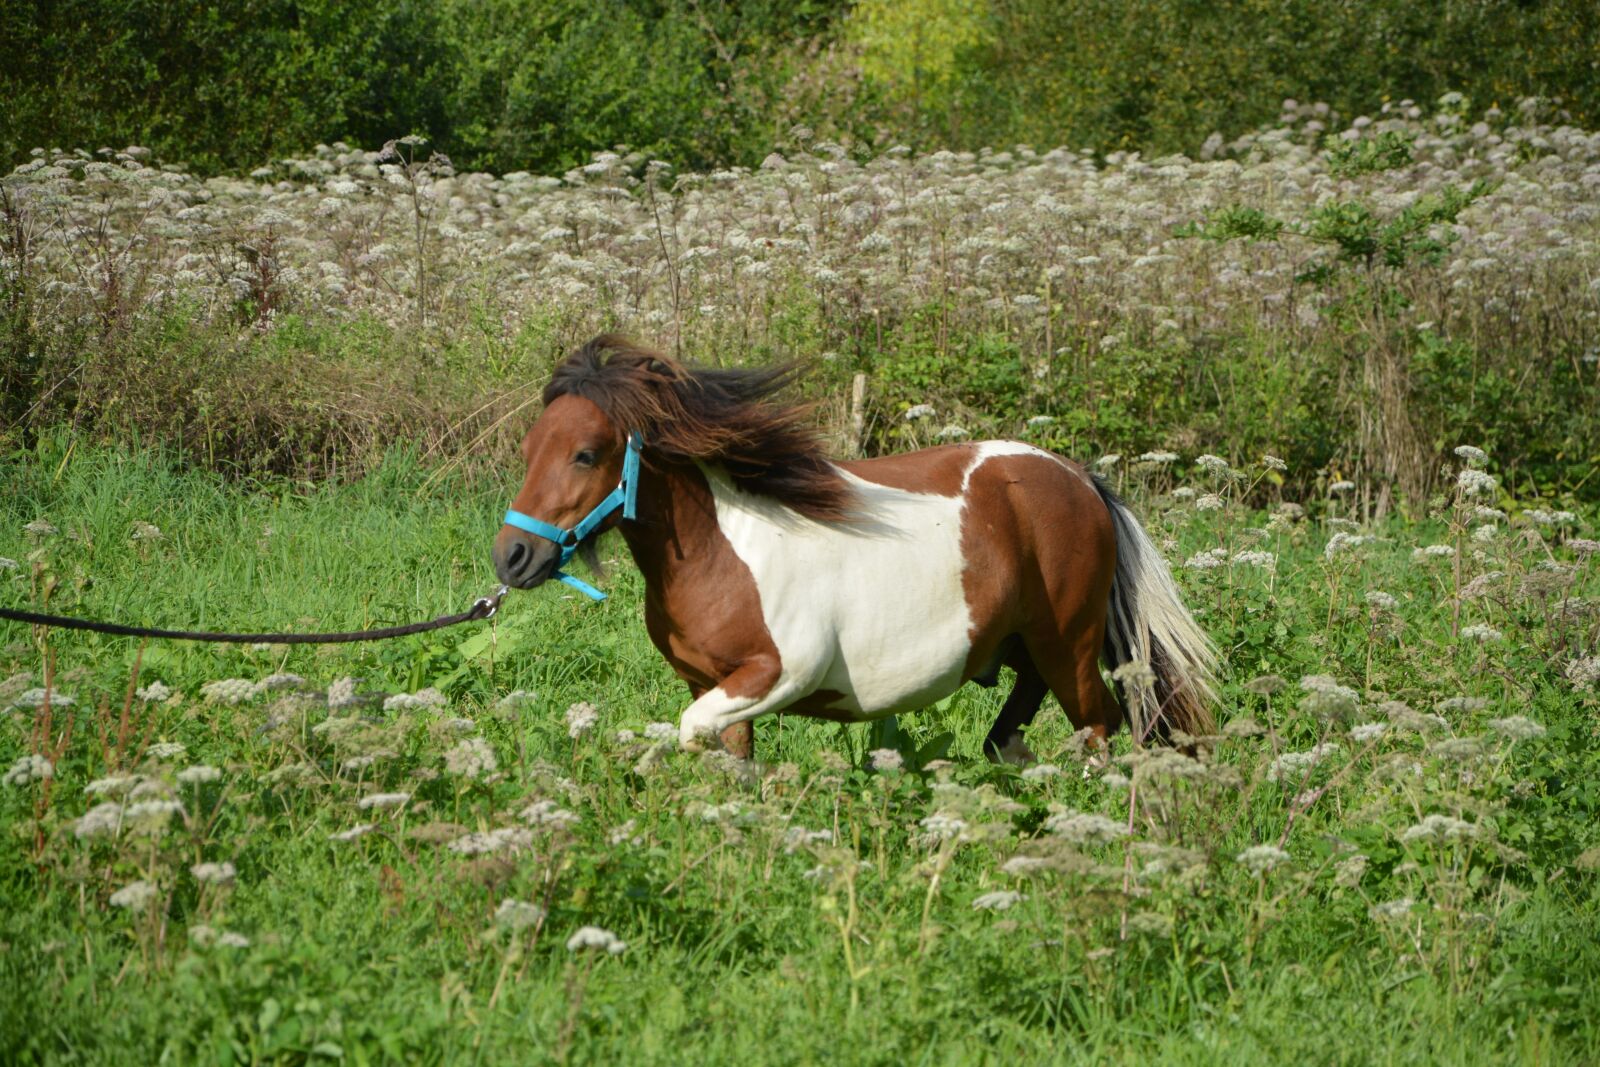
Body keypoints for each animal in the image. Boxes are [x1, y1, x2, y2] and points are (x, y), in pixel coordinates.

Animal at [492, 335, 1217, 761]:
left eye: (586, 454)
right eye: (528, 449)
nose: (512, 558)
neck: (723, 551)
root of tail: (1079, 478)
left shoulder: (778, 673)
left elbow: (690, 731)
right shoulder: (718, 685)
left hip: (1067, 643)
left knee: (1099, 725)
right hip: (1023, 646)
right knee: (1014, 728)